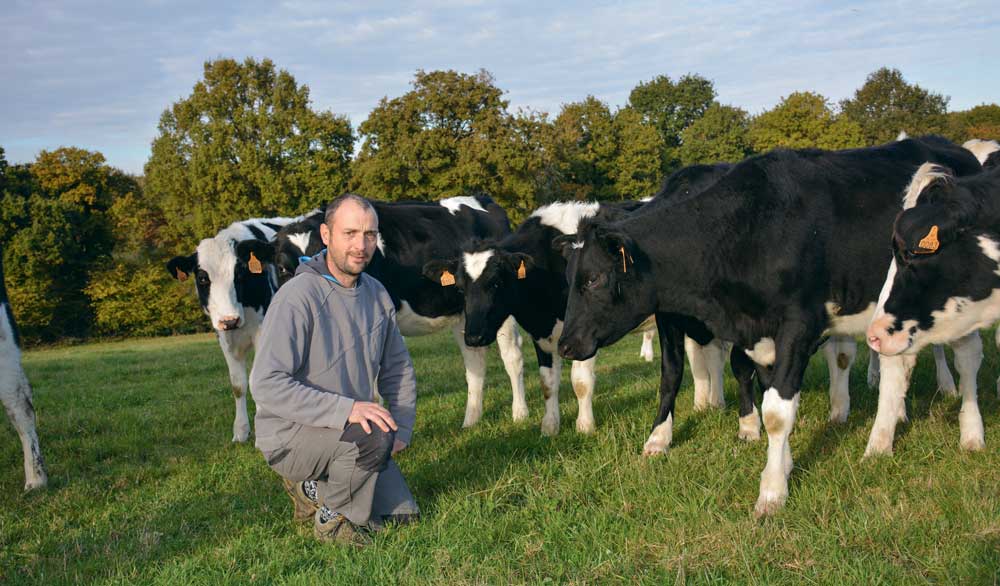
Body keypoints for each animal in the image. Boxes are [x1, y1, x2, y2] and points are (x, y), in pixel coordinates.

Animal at [166, 217, 306, 440]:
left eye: (239, 274)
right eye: (203, 278)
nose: (230, 320)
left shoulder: (263, 333)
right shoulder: (224, 337)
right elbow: (238, 384)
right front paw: (241, 431)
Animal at [266, 194, 532, 426]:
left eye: (322, 254)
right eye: (282, 267)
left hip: (501, 310)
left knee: (512, 356)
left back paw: (520, 414)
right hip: (467, 313)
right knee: (474, 360)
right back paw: (470, 422)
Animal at [560, 135, 980, 512]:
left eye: (593, 279)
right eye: (570, 277)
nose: (565, 344)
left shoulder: (798, 323)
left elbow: (777, 411)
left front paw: (772, 490)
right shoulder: (742, 330)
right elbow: (692, 377)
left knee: (967, 359)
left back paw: (970, 435)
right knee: (898, 365)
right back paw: (881, 440)